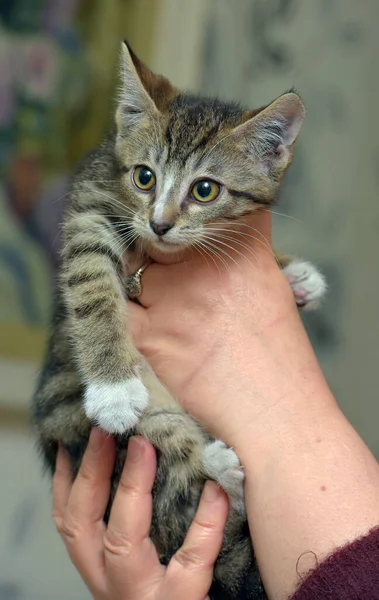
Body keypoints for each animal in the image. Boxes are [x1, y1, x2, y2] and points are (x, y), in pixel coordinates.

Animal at [32, 43, 326, 600]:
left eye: (205, 189)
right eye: (144, 177)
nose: (160, 223)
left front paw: (296, 275)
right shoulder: (90, 208)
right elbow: (91, 283)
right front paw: (114, 388)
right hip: (107, 432)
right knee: (178, 488)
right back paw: (221, 469)